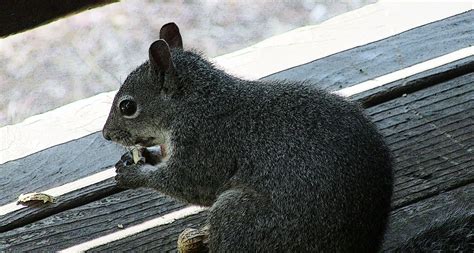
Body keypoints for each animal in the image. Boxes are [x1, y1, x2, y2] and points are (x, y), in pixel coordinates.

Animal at [102, 22, 394, 251]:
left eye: (127, 107)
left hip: (240, 218)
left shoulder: (205, 143)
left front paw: (135, 175)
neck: (195, 102)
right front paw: (140, 157)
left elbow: (189, 183)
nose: (106, 134)